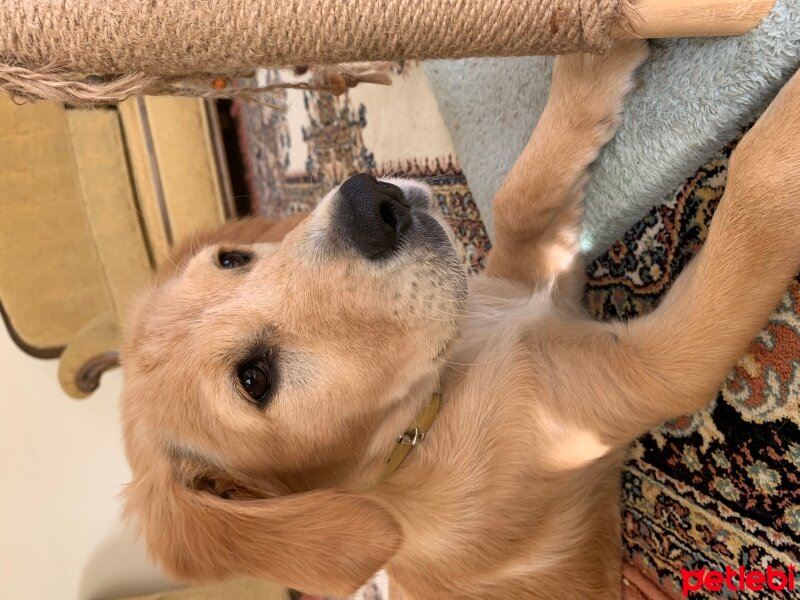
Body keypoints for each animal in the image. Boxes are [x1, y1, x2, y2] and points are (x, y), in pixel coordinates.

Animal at [119, 39, 800, 596]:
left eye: (232, 258)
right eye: (255, 379)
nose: (370, 203)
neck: (436, 399)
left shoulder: (539, 264)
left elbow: (521, 194)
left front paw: (594, 53)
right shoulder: (649, 370)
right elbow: (759, 189)